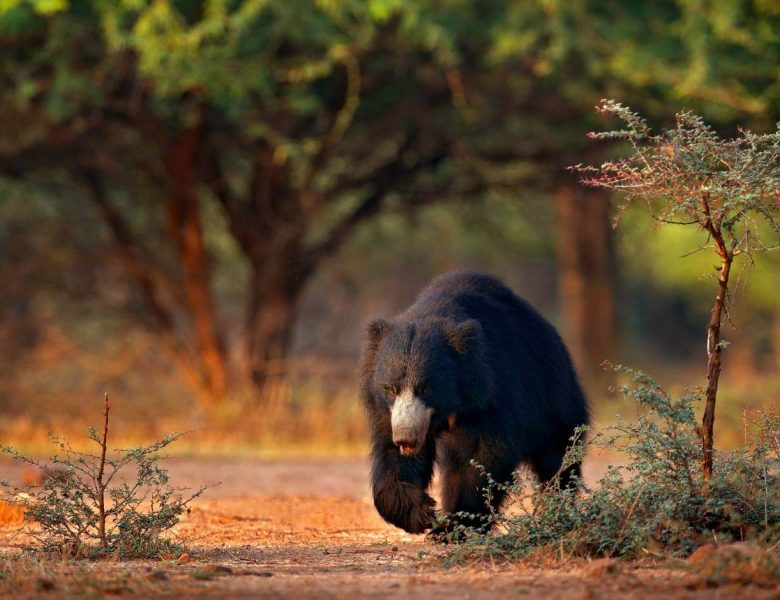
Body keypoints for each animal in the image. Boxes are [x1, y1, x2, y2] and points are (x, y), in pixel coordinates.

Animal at [358, 270, 584, 532]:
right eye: (391, 389)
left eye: (426, 388)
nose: (405, 438)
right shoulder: (388, 412)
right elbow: (392, 456)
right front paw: (421, 512)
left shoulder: (493, 394)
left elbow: (481, 459)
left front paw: (452, 527)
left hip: (553, 396)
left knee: (557, 455)